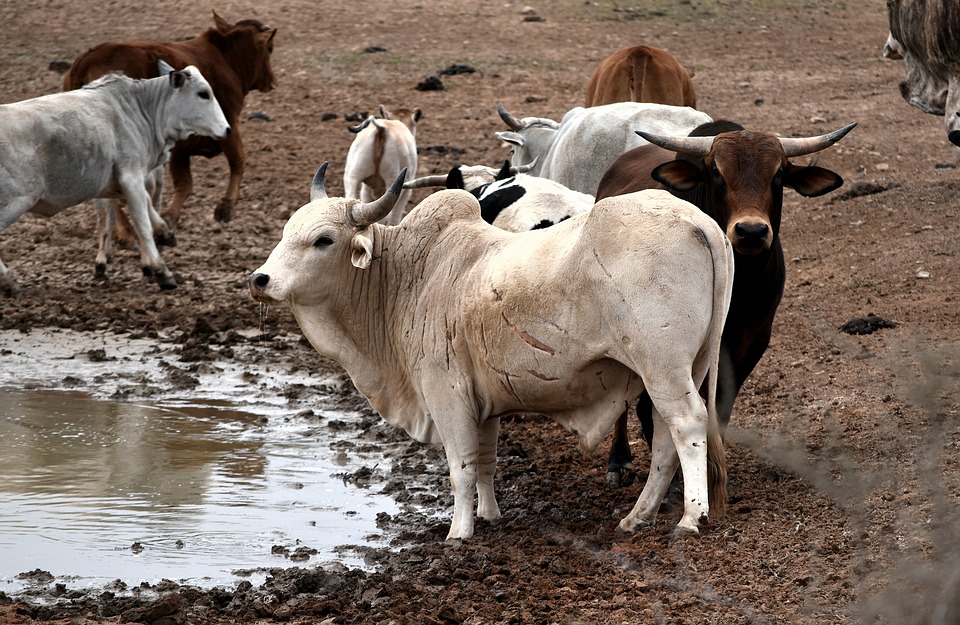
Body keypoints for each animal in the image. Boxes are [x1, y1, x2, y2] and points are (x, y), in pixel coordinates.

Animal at [0, 66, 231, 297]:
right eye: (203, 93)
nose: (227, 129)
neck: (139, 108)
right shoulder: (131, 177)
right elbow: (142, 224)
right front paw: (161, 271)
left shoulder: (117, 184)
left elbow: (137, 211)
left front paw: (164, 235)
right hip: (16, 202)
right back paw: (9, 283)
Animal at [63, 11, 277, 240]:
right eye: (269, 48)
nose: (272, 82)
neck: (225, 56)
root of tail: (84, 63)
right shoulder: (226, 126)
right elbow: (235, 162)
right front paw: (224, 207)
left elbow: (186, 183)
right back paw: (128, 233)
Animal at [595, 120, 856, 486]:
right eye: (717, 172)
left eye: (778, 173)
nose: (751, 231)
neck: (741, 286)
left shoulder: (751, 343)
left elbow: (719, 408)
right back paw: (619, 460)